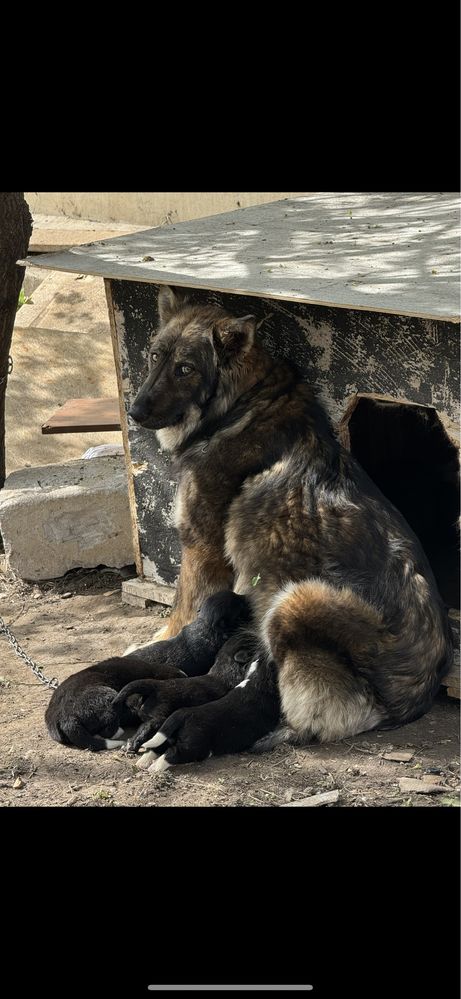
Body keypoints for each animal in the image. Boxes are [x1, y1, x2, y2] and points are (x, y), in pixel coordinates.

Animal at [44, 592, 250, 752]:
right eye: (239, 605)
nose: (248, 596)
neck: (205, 627)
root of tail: (64, 718)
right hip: (108, 696)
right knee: (109, 728)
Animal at [126, 286, 452, 768]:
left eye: (185, 368)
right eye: (153, 356)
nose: (133, 411)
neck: (240, 405)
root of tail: (417, 695)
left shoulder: (200, 547)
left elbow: (181, 609)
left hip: (295, 602)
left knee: (313, 719)